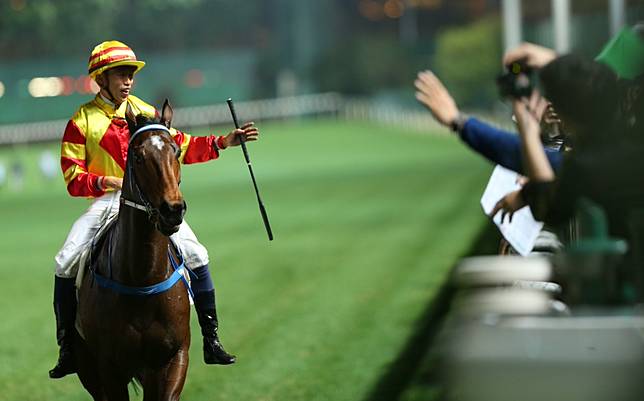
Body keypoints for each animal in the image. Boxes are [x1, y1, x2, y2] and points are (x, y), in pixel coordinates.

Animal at [75, 100, 192, 401]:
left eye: (175, 150)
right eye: (138, 157)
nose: (172, 210)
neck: (142, 280)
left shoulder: (172, 358)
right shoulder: (109, 366)